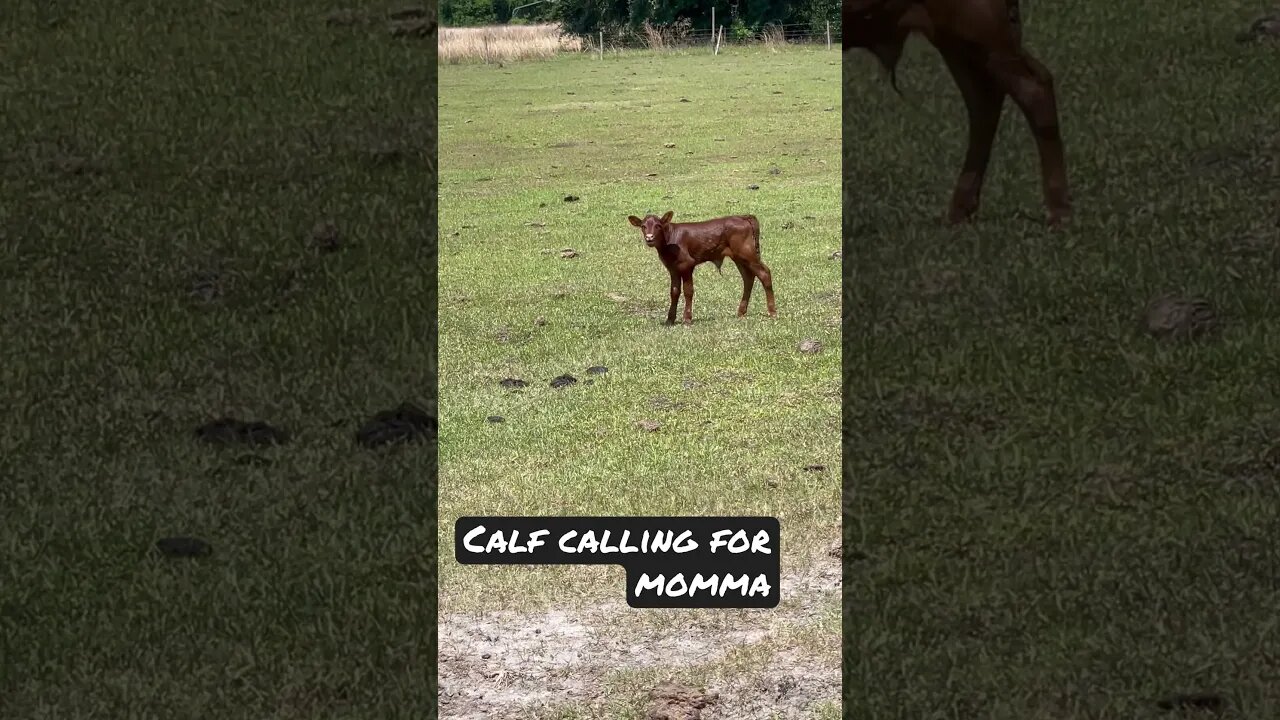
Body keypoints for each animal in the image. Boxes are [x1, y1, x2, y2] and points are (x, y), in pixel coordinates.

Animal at [624, 210, 773, 325]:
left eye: (658, 226)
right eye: (643, 226)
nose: (649, 238)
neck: (669, 240)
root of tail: (743, 217)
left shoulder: (687, 264)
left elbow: (688, 291)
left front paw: (687, 318)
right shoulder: (673, 268)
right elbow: (674, 291)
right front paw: (670, 319)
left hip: (748, 253)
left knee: (764, 273)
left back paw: (772, 312)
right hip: (739, 257)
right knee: (748, 277)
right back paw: (741, 312)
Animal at [849, 0, 1070, 224]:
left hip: (977, 31)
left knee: (1031, 88)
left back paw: (1059, 214)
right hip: (959, 44)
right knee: (985, 101)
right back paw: (960, 211)